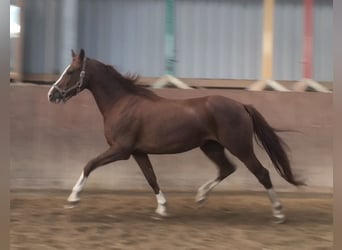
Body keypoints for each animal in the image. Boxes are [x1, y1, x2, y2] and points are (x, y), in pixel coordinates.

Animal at [47, 48, 302, 223]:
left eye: (70, 71)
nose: (52, 94)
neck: (122, 103)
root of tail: (241, 105)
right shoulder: (138, 152)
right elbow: (151, 178)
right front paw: (162, 208)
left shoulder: (121, 150)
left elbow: (89, 164)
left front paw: (73, 199)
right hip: (211, 146)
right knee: (227, 168)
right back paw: (200, 197)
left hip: (240, 147)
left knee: (262, 173)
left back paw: (279, 213)